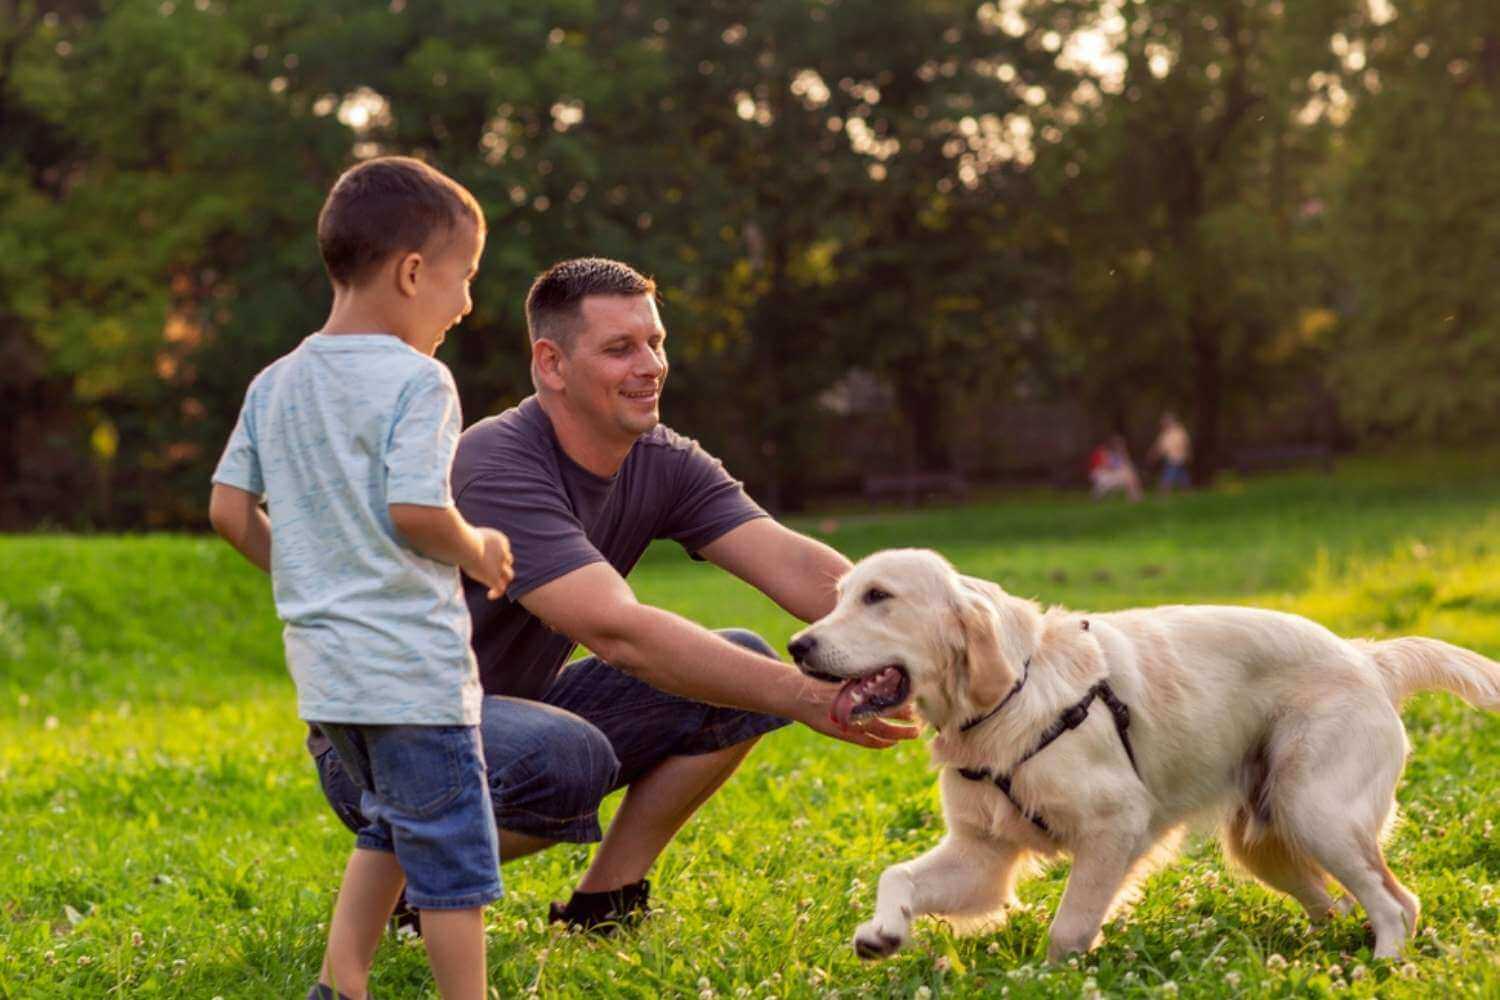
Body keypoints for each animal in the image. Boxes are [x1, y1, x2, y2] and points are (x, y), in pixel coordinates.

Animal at [786, 551, 1500, 965]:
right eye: (841, 594)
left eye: (879, 596)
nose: (797, 646)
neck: (1013, 697)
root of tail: (1366, 657)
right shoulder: (982, 855)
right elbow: (897, 877)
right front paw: (883, 933)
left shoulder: (1114, 826)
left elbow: (1068, 929)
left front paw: (1054, 975)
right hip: (1265, 841)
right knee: (1348, 904)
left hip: (1315, 811)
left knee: (1395, 903)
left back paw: (1383, 963)